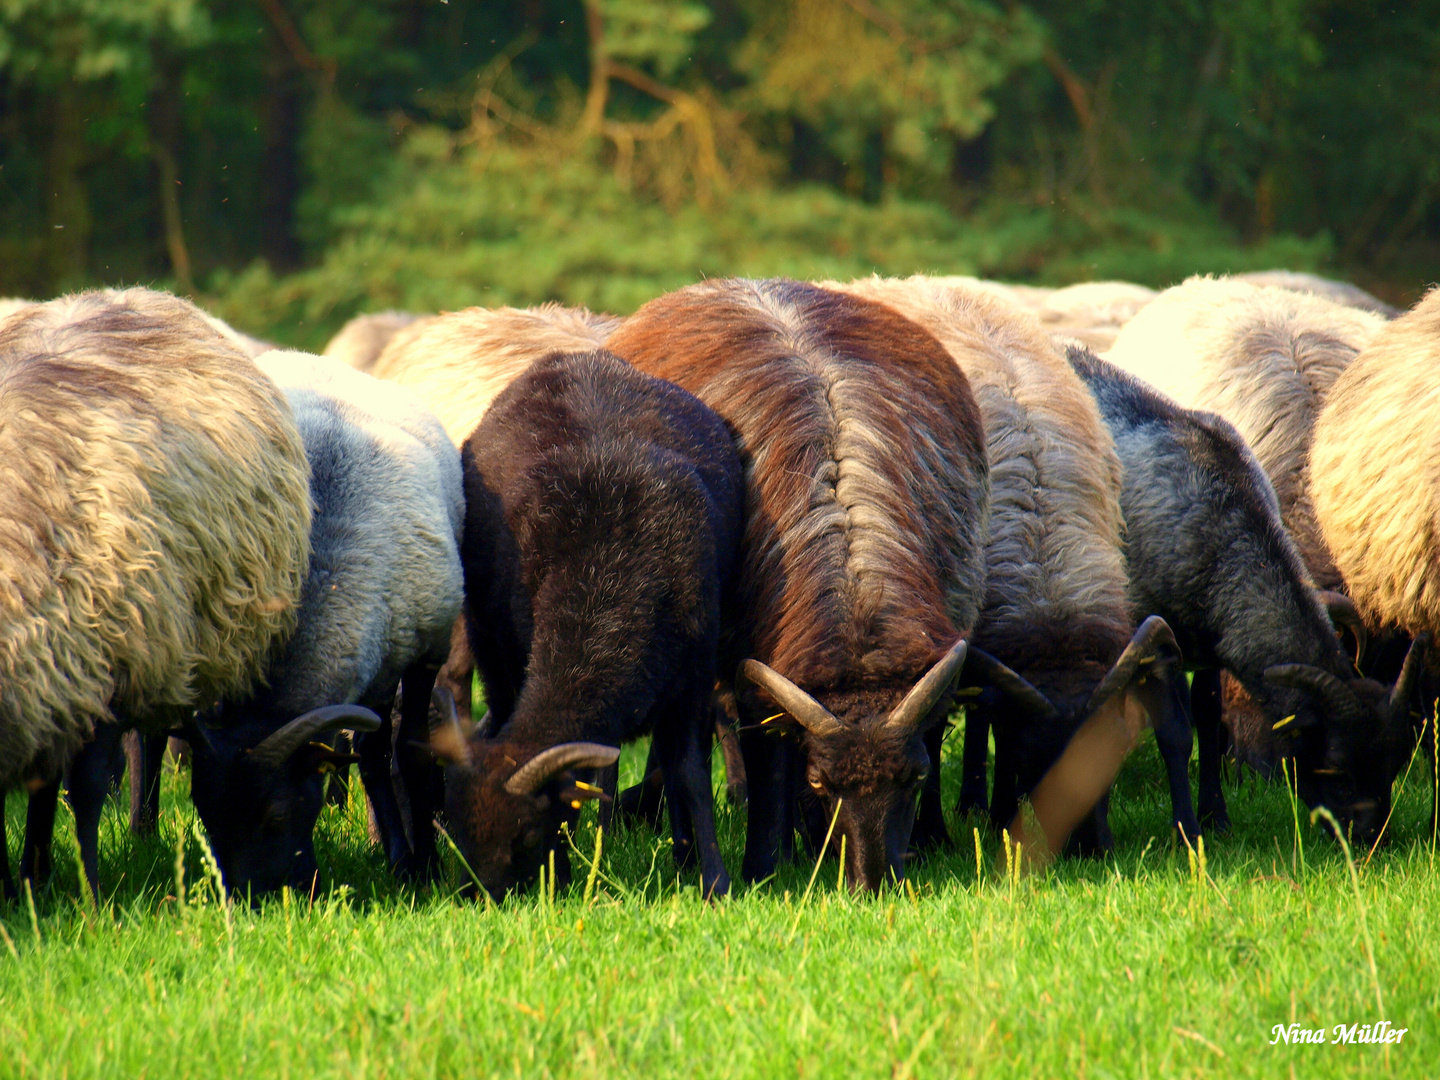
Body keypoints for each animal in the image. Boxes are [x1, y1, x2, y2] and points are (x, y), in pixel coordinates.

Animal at [443, 348, 743, 904]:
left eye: (526, 833)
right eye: (455, 828)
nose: (481, 901)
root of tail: (570, 358)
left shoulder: (693, 679)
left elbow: (689, 777)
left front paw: (713, 880)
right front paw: (565, 873)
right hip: (490, 641)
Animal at [604, 279, 990, 898]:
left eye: (915, 778)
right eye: (820, 782)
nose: (873, 885)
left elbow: (930, 729)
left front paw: (931, 841)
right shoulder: (753, 669)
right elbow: (766, 758)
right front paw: (762, 867)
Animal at [1071, 342, 1416, 840]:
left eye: (1395, 762)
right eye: (1336, 769)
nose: (1371, 841)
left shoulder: (1209, 644)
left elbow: (1209, 719)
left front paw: (1217, 818)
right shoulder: (1155, 633)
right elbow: (1176, 731)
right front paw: (1187, 830)